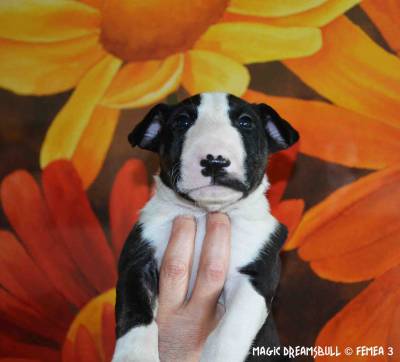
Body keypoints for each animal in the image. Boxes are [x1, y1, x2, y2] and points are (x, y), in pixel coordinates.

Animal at [111, 92, 296, 362]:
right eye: (182, 122)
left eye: (246, 122)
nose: (215, 160)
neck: (204, 214)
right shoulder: (137, 263)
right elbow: (136, 314)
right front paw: (134, 357)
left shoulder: (257, 275)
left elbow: (232, 328)